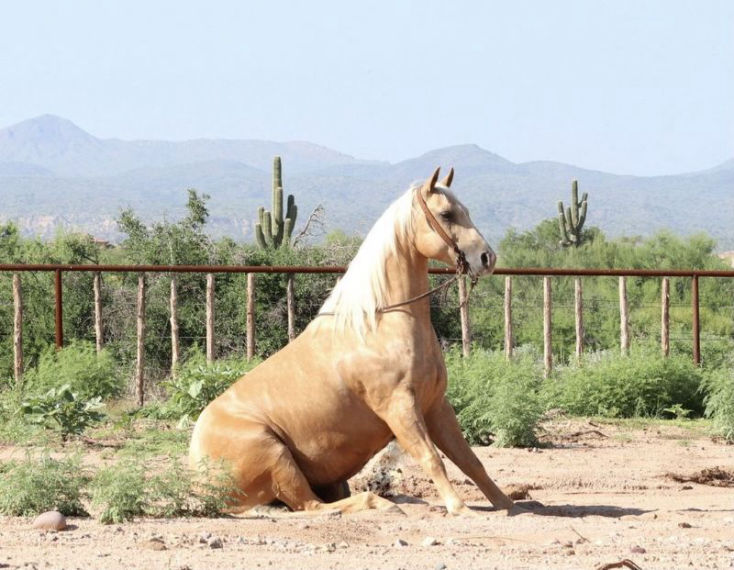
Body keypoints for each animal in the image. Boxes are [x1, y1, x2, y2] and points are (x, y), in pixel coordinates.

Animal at [189, 167, 515, 515]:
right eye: (446, 214)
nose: (487, 257)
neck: (379, 324)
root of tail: (196, 474)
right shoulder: (400, 407)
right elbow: (431, 458)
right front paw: (459, 507)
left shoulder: (436, 406)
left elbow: (470, 460)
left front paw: (507, 504)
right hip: (276, 457)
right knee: (314, 506)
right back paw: (381, 503)